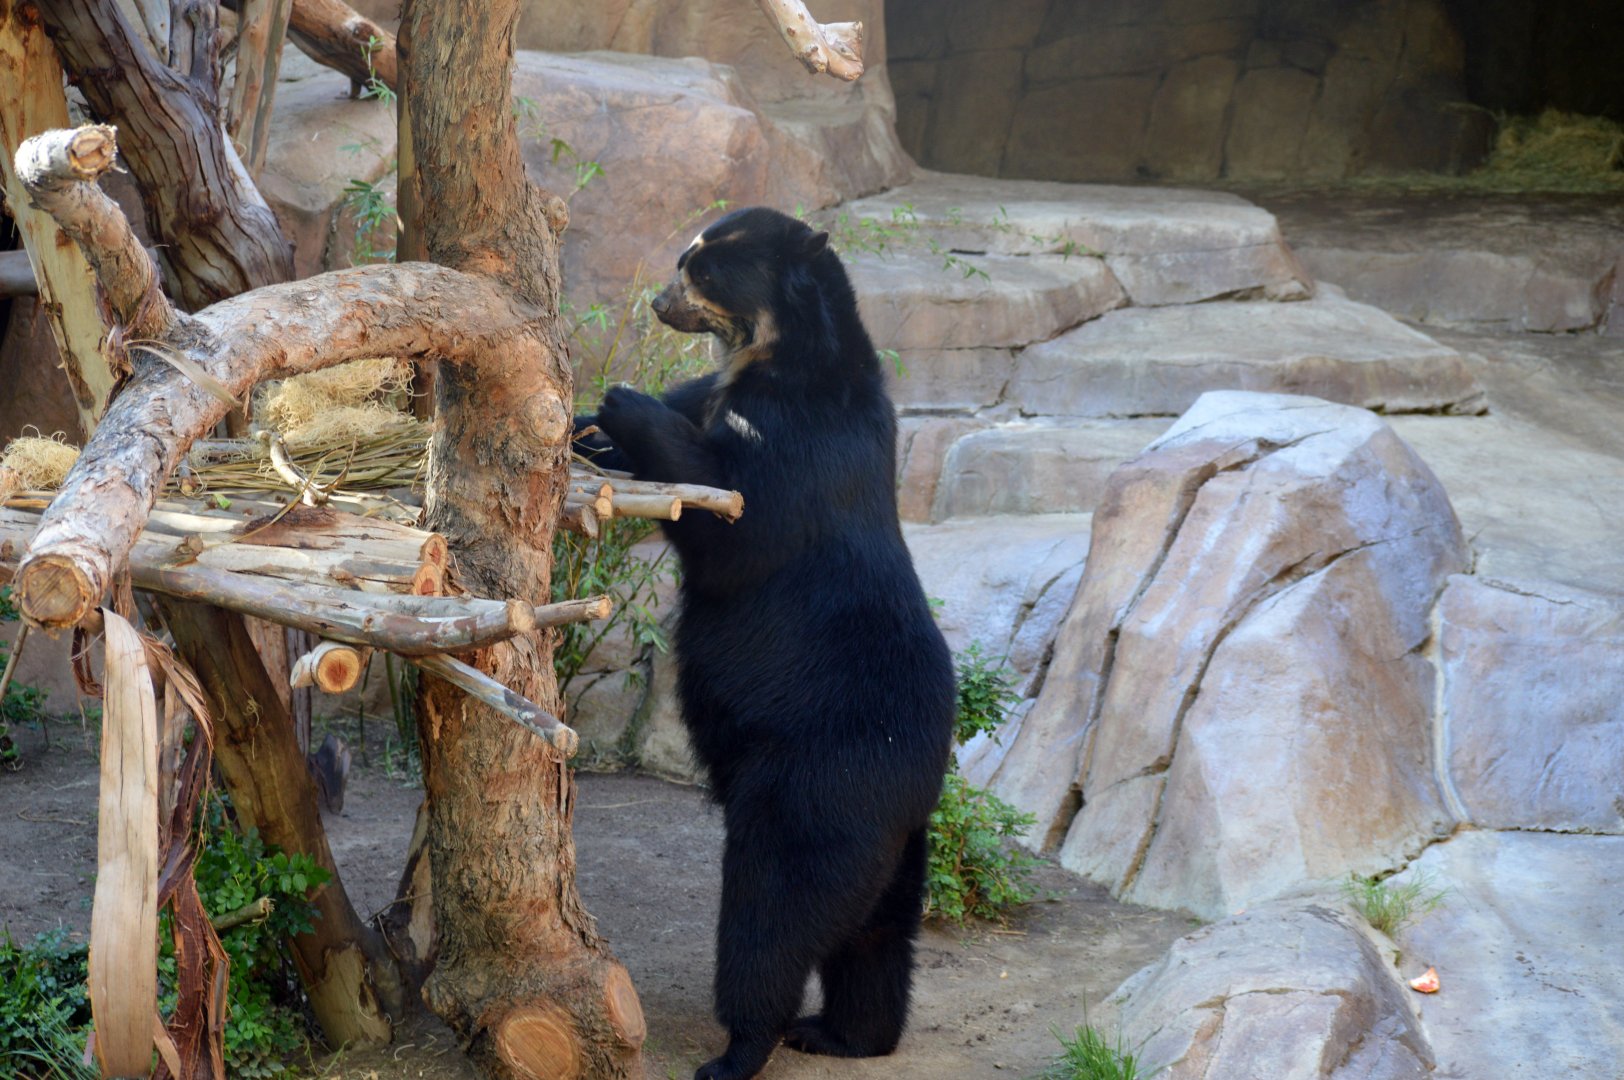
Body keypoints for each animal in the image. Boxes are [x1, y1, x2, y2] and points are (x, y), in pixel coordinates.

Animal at [573, 206, 956, 1080]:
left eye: (704, 270)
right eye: (685, 257)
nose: (657, 304)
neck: (775, 353)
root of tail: (917, 780)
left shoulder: (800, 437)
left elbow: (735, 513)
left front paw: (621, 402)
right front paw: (584, 426)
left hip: (816, 778)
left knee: (774, 910)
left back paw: (741, 1046)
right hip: (887, 830)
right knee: (877, 934)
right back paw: (846, 1032)